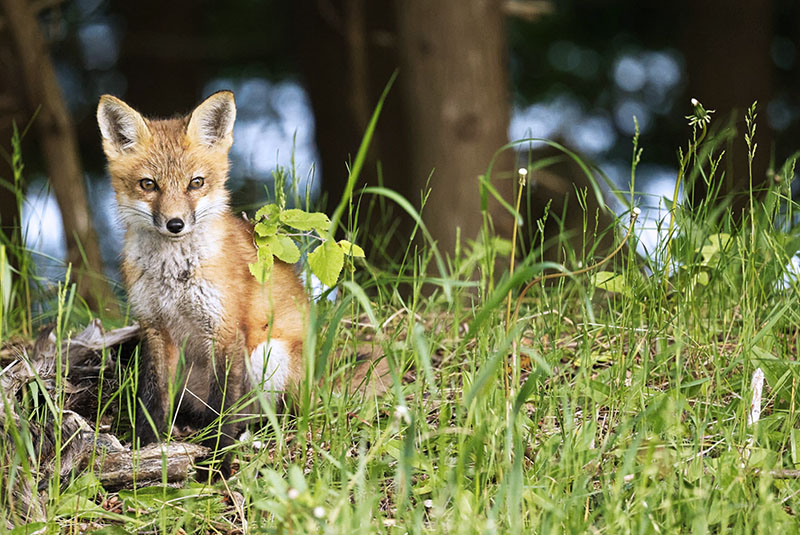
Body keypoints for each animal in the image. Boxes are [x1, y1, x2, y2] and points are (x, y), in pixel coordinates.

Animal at [96, 91, 307, 474]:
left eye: (195, 183)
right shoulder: (154, 327)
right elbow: (153, 397)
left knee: (264, 417)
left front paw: (219, 465)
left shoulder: (224, 330)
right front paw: (145, 449)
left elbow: (223, 405)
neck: (174, 275)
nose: (175, 224)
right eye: (148, 184)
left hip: (268, 356)